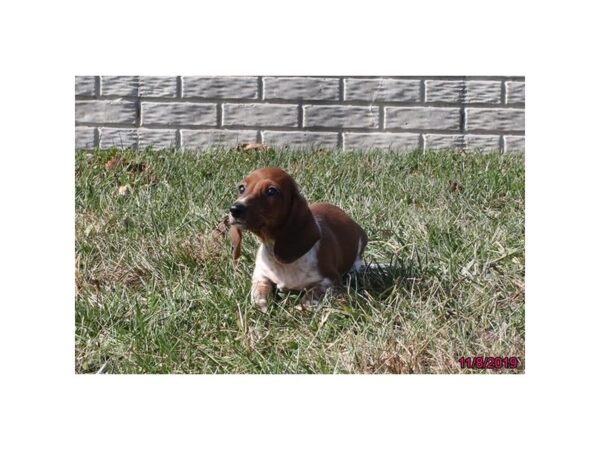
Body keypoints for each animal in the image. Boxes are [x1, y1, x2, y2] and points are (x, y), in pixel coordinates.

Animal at [227, 167, 366, 312]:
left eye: (271, 191)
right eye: (241, 188)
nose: (235, 209)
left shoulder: (330, 280)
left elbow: (311, 295)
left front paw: (300, 308)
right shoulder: (260, 274)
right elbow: (259, 290)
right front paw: (261, 305)